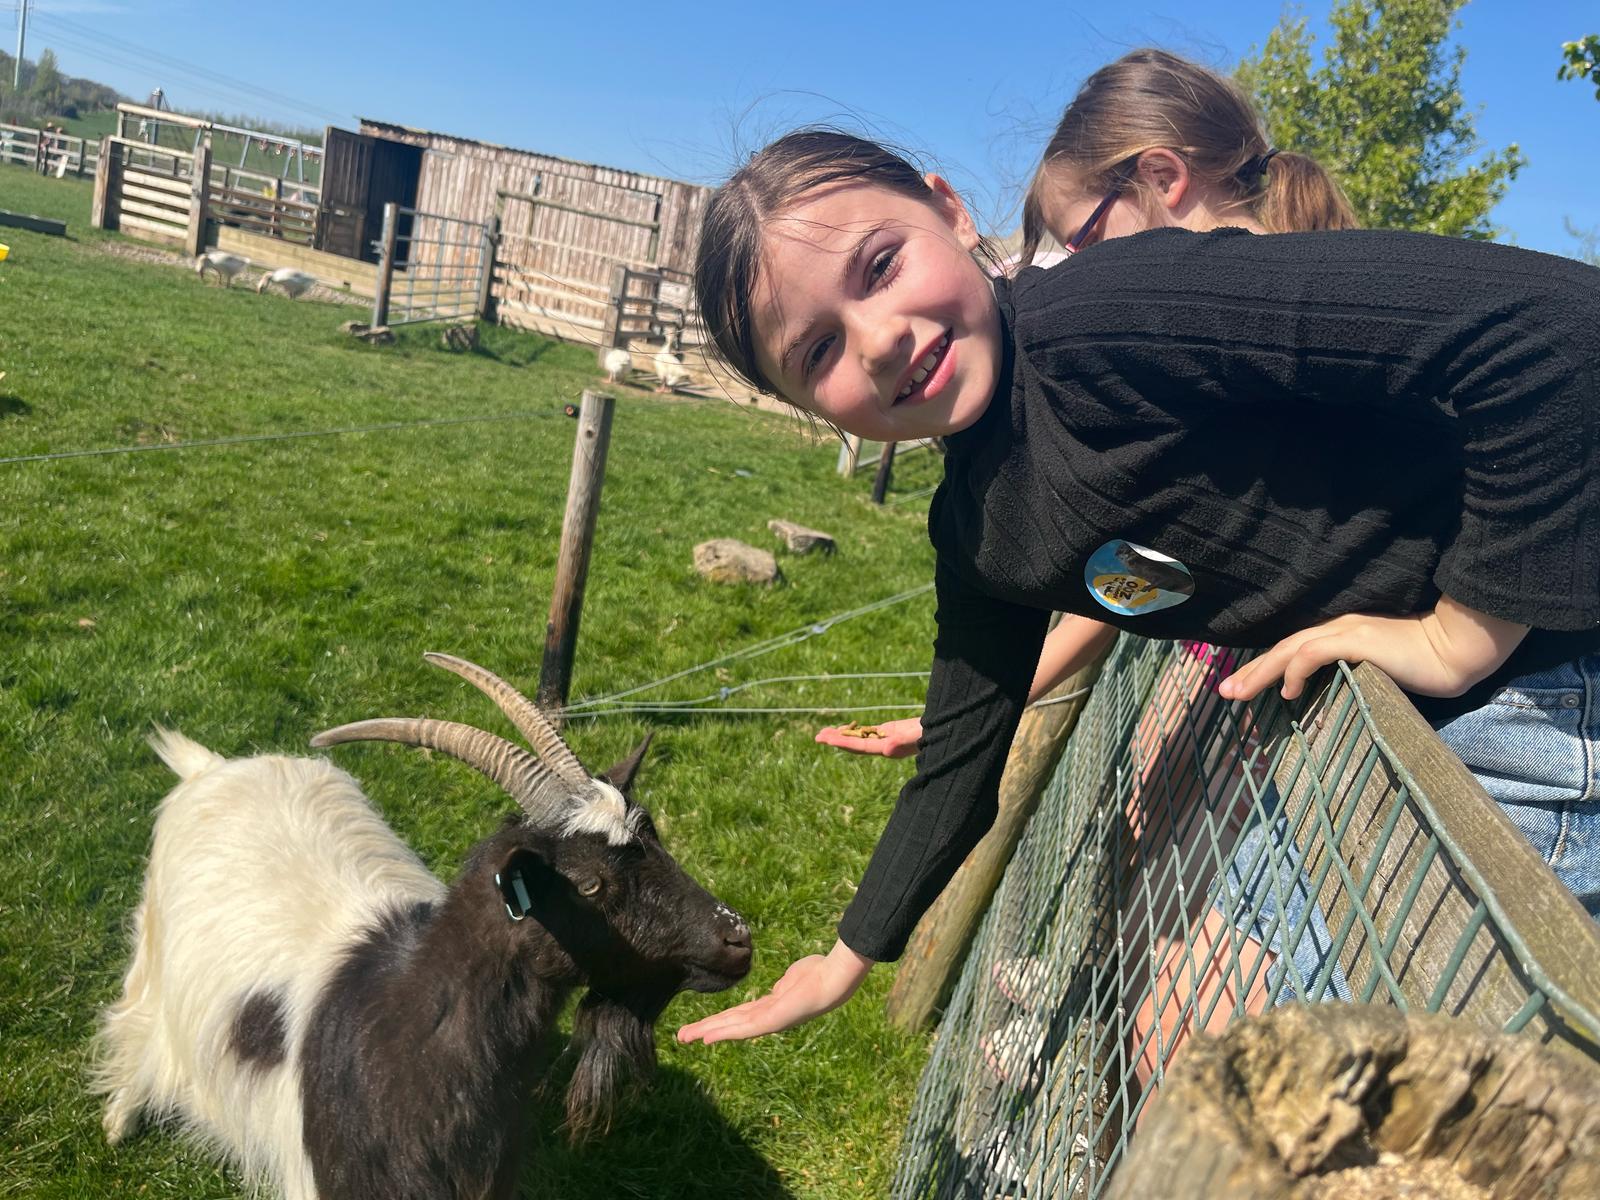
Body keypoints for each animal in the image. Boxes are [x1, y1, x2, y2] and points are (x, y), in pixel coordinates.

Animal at [93, 652, 753, 1200]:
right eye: (590, 885)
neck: (405, 1022)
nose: (737, 939)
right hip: (154, 942)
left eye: (655, 837)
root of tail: (212, 767)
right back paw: (119, 1118)